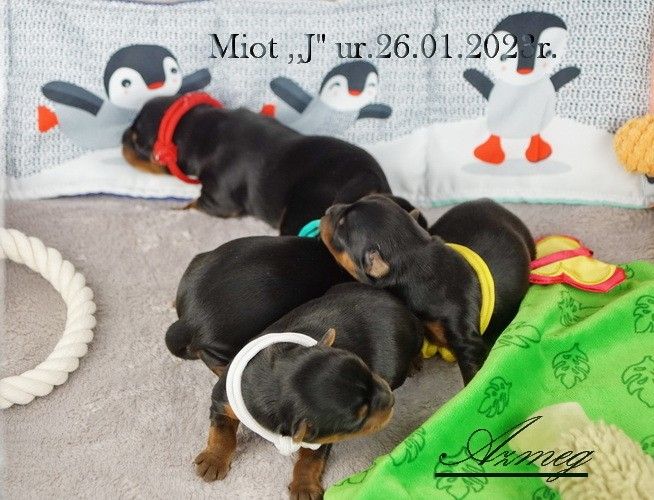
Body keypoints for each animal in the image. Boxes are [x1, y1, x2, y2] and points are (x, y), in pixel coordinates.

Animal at [122, 95, 392, 235]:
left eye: (136, 140)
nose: (122, 136)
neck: (202, 127)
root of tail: (366, 175)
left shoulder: (219, 201)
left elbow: (194, 203)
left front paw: (175, 208)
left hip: (300, 216)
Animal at [195, 282, 424, 499]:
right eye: (359, 419)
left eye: (367, 369)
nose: (391, 399)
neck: (274, 384)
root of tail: (401, 306)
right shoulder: (223, 401)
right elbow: (221, 432)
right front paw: (213, 460)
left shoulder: (320, 436)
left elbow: (310, 458)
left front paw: (304, 487)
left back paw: (414, 363)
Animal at [319, 196, 535, 384]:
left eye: (341, 225)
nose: (327, 210)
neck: (415, 258)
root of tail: (491, 202)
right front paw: (412, 360)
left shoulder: (466, 340)